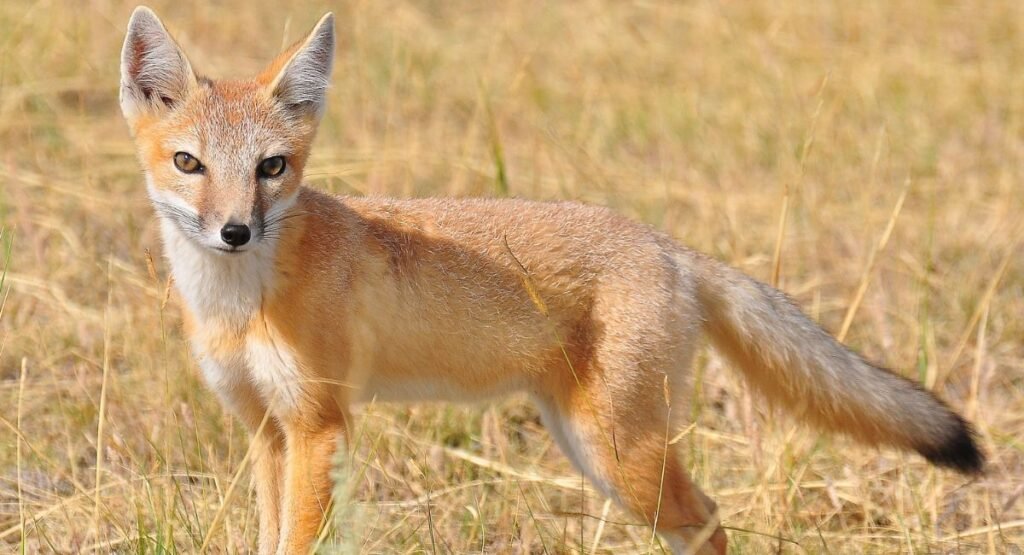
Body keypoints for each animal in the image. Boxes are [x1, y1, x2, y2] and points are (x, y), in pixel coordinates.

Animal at [118, 6, 983, 554]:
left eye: (272, 168)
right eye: (189, 163)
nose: (234, 231)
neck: (238, 301)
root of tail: (669, 246)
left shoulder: (319, 425)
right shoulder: (267, 428)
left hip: (619, 453)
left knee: (711, 522)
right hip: (590, 446)